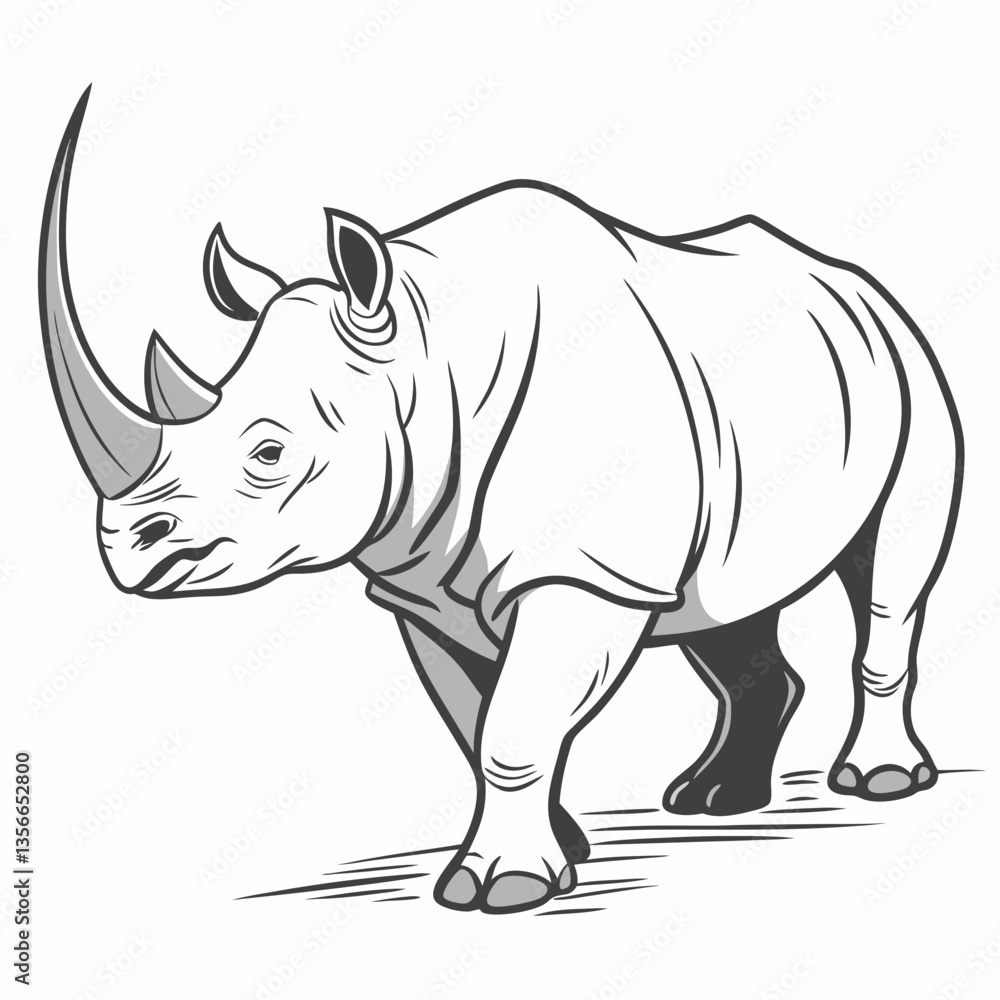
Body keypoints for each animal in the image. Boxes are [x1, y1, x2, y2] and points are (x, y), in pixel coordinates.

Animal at [40, 89, 962, 914]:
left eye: (270, 453)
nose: (129, 546)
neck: (429, 356)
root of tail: (860, 283)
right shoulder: (423, 578)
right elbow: (480, 720)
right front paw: (564, 851)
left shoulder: (586, 572)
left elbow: (514, 728)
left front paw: (500, 889)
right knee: (724, 601)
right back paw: (712, 802)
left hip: (912, 369)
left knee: (889, 577)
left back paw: (878, 781)